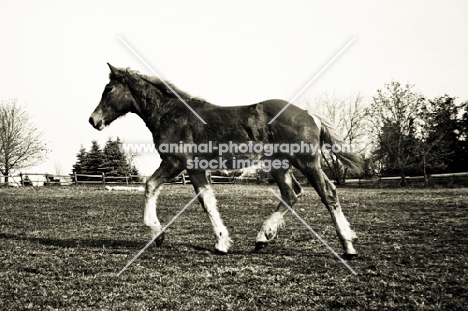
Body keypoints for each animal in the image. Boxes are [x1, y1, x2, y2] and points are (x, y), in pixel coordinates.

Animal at [88, 63, 362, 258]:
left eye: (108, 89)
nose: (93, 120)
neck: (171, 113)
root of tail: (308, 114)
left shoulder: (174, 163)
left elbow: (150, 186)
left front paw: (157, 234)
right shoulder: (196, 169)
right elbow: (207, 202)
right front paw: (221, 242)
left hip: (307, 162)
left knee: (327, 193)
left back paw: (348, 246)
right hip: (279, 165)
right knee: (291, 193)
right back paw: (263, 237)